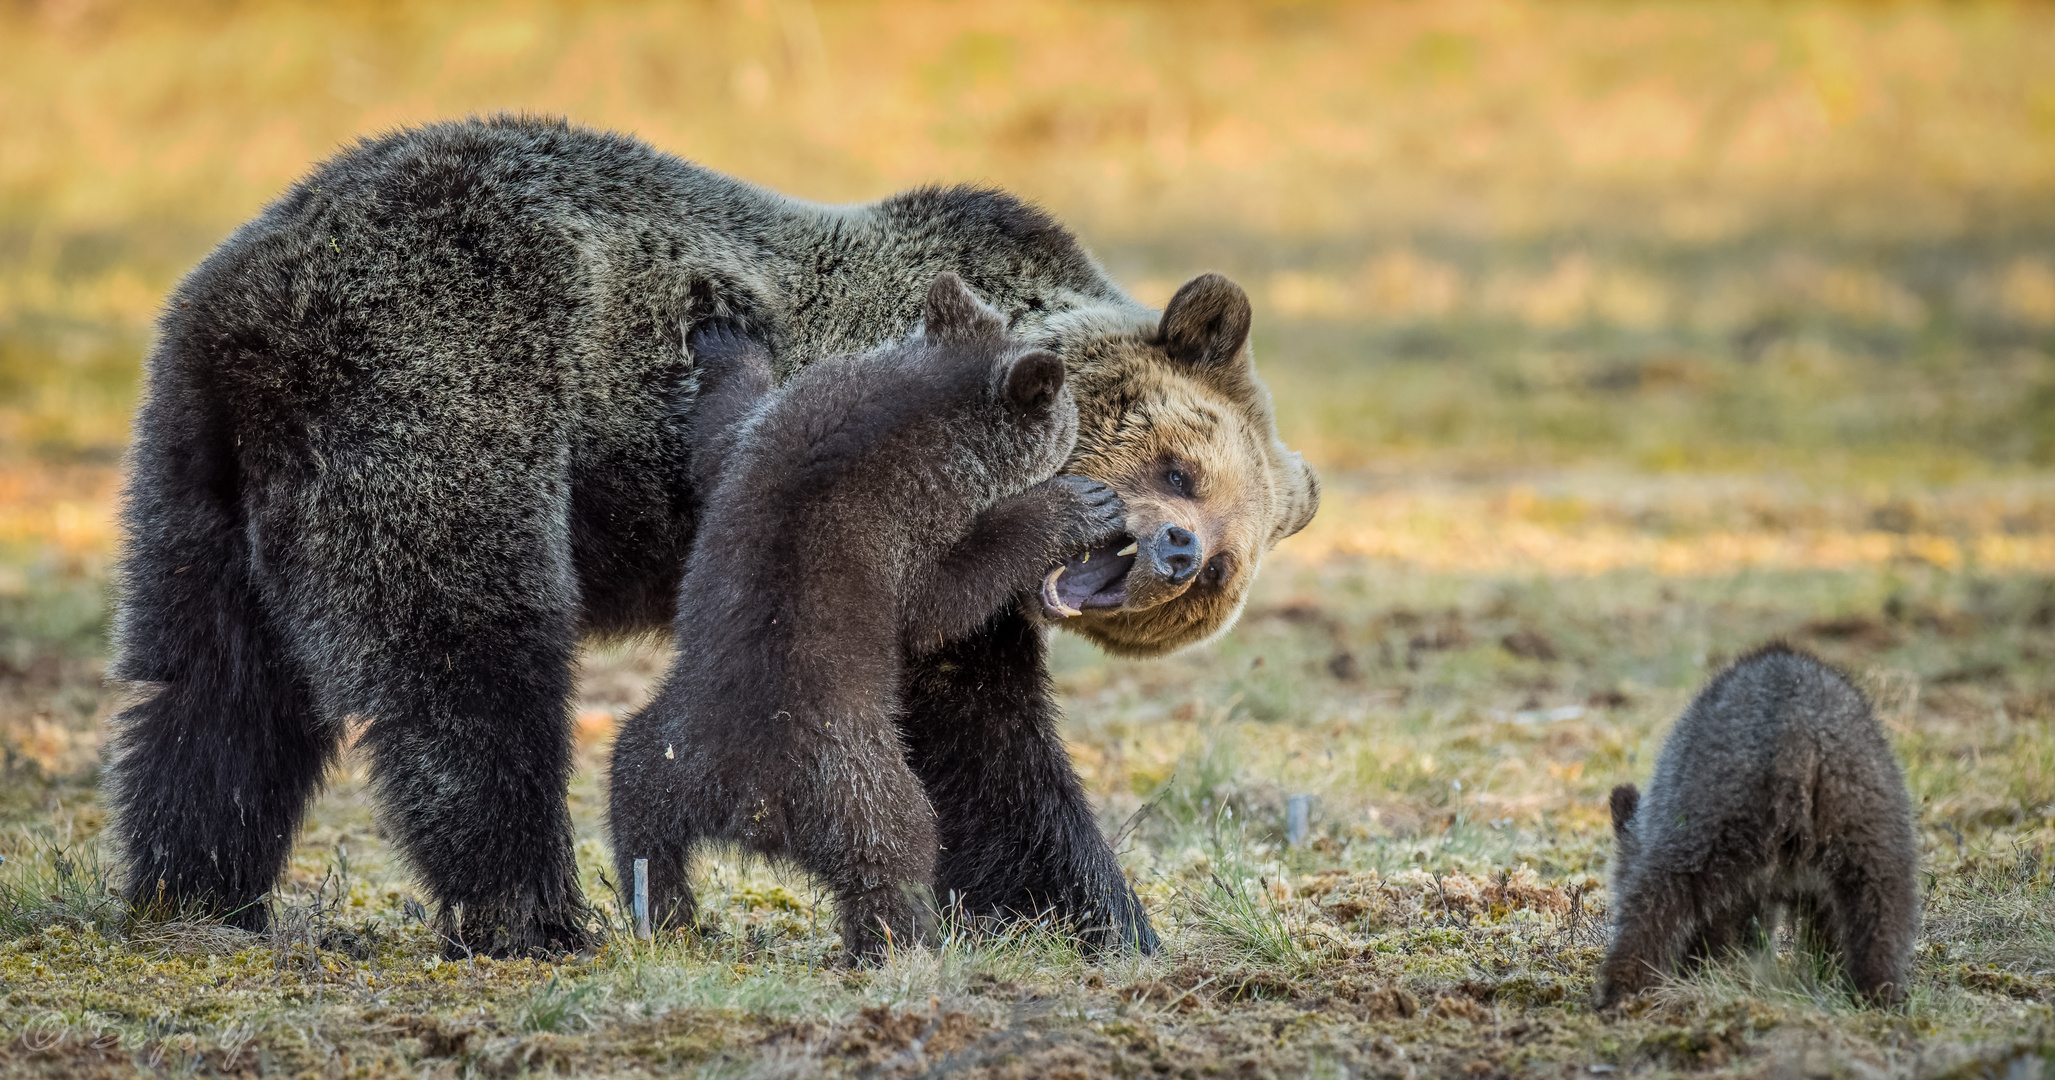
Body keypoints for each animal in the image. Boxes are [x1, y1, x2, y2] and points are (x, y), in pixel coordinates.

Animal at [108, 114, 1315, 960]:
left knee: (210, 683)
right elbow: (977, 733)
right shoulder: (898, 515)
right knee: (469, 656)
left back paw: (196, 888)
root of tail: (262, 310)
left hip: (193, 455)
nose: (1177, 552)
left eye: (1220, 571)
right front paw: (1107, 919)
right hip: (446, 377)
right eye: (1180, 468)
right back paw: (535, 915)